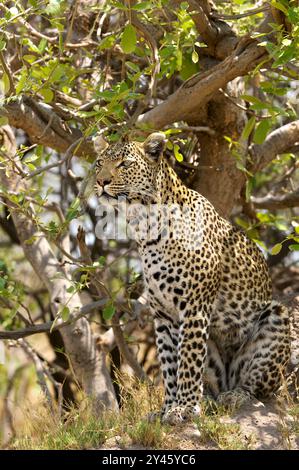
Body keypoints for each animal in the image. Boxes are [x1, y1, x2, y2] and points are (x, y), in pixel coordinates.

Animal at [95, 130, 292, 424]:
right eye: (99, 163)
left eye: (125, 164)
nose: (101, 181)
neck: (145, 226)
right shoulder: (163, 315)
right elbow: (169, 366)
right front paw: (167, 408)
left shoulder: (194, 307)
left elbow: (187, 360)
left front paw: (185, 408)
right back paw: (208, 400)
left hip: (275, 317)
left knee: (260, 387)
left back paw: (235, 396)